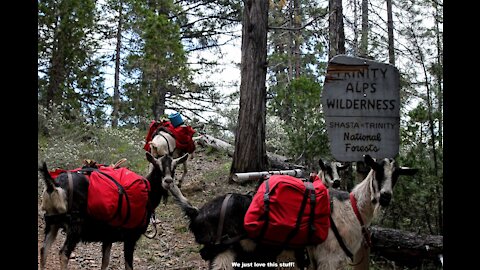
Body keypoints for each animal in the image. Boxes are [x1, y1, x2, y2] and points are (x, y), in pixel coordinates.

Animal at [39, 152, 188, 270]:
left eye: (174, 168)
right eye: (157, 167)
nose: (168, 181)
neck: (148, 193)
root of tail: (54, 186)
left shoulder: (108, 237)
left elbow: (105, 262)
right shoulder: (130, 237)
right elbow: (128, 266)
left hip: (52, 222)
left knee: (43, 250)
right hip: (74, 227)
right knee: (63, 254)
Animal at [172, 155, 416, 268]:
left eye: (397, 175)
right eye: (376, 170)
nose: (385, 197)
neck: (353, 209)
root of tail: (197, 213)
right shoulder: (329, 259)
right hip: (224, 254)